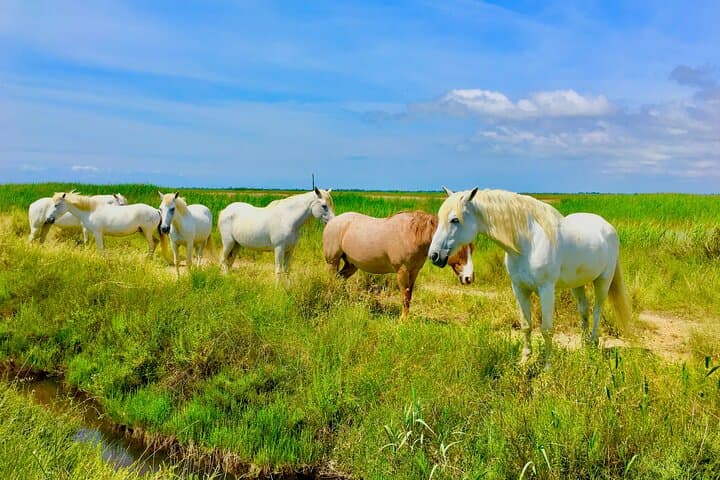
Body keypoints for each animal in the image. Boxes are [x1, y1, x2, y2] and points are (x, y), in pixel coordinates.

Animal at [322, 210, 475, 318]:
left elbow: (409, 295)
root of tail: (332, 222)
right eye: (459, 249)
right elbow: (404, 296)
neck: (413, 235)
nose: (469, 278)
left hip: (351, 265)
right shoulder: (402, 271)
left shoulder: (414, 272)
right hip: (332, 262)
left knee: (340, 278)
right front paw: (403, 320)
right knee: (332, 280)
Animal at [428, 187, 632, 365]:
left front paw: (547, 367)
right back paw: (584, 346)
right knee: (584, 310)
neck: (528, 242)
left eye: (455, 220)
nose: (434, 256)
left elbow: (547, 329)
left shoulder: (546, 289)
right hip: (577, 283)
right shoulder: (519, 289)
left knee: (597, 310)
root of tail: (608, 228)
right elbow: (526, 325)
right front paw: (524, 361)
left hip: (603, 280)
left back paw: (593, 344)